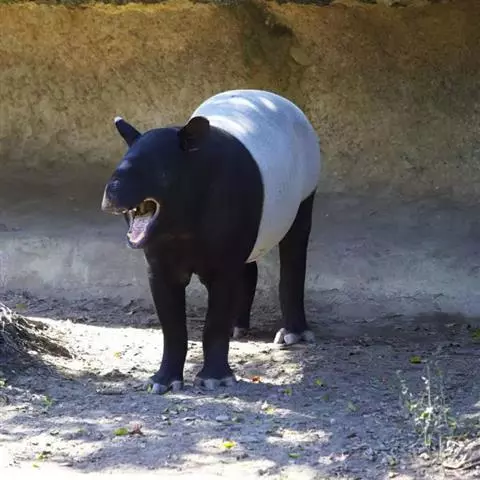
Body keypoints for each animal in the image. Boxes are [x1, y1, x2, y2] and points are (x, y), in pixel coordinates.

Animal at [101, 89, 321, 394]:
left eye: (160, 172)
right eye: (120, 163)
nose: (111, 192)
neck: (181, 227)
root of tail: (278, 99)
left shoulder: (222, 257)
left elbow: (215, 320)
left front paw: (215, 379)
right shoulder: (158, 264)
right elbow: (172, 326)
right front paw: (162, 381)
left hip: (305, 188)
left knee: (294, 251)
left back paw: (292, 335)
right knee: (248, 266)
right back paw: (237, 327)